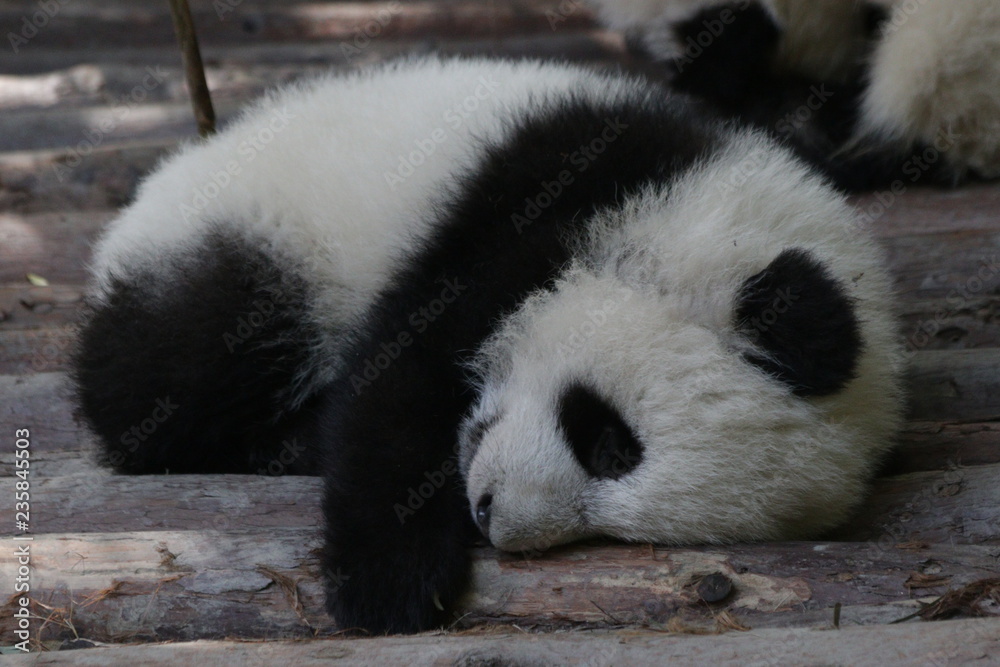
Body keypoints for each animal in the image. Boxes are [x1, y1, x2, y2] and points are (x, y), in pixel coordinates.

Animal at [71, 55, 904, 634]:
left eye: (621, 516)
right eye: (609, 442)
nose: (491, 513)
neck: (706, 211)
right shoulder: (537, 197)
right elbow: (398, 375)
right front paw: (387, 582)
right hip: (262, 236)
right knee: (175, 368)